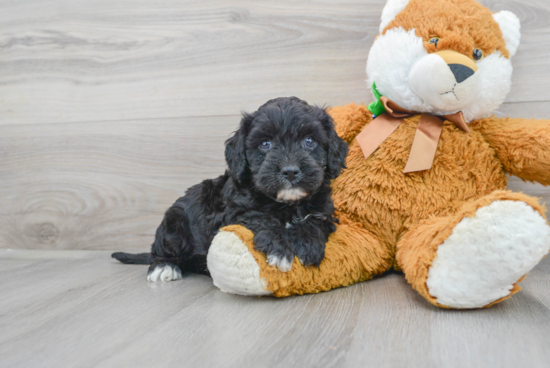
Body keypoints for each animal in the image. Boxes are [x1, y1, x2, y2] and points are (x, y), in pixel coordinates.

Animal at [113, 97, 350, 282]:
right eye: (265, 144)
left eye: (309, 141)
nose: (290, 171)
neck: (287, 204)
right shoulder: (230, 213)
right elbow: (260, 218)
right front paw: (280, 248)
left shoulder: (324, 211)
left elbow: (315, 222)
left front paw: (307, 245)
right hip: (174, 223)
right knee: (160, 251)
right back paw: (164, 266)